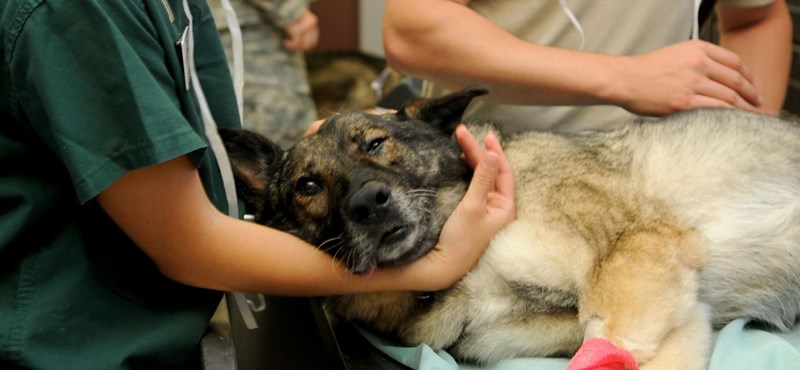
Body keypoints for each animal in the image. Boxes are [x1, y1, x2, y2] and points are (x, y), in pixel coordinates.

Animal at [220, 87, 800, 370]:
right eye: (308, 185)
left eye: (376, 143)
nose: (368, 202)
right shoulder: (675, 311)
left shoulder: (635, 252)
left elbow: (611, 337)